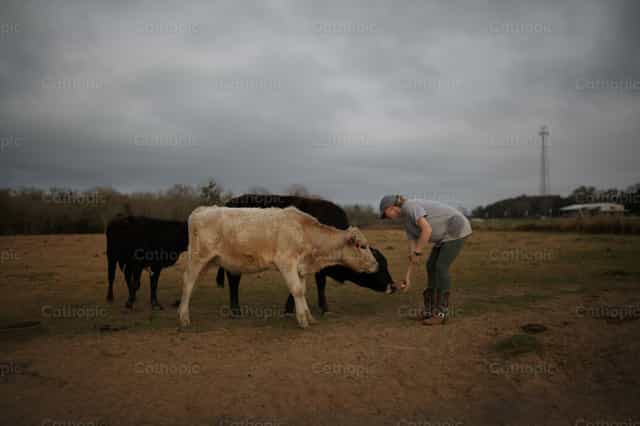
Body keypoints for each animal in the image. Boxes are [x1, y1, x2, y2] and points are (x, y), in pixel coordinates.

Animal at [177, 206, 378, 328]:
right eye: (362, 246)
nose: (375, 265)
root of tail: (203, 209)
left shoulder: (300, 267)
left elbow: (302, 290)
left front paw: (308, 317)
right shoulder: (286, 262)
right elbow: (296, 290)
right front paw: (302, 320)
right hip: (198, 258)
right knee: (188, 282)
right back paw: (184, 317)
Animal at [216, 194, 396, 316]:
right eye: (380, 266)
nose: (393, 286)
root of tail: (229, 203)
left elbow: (317, 283)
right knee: (233, 280)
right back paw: (235, 310)